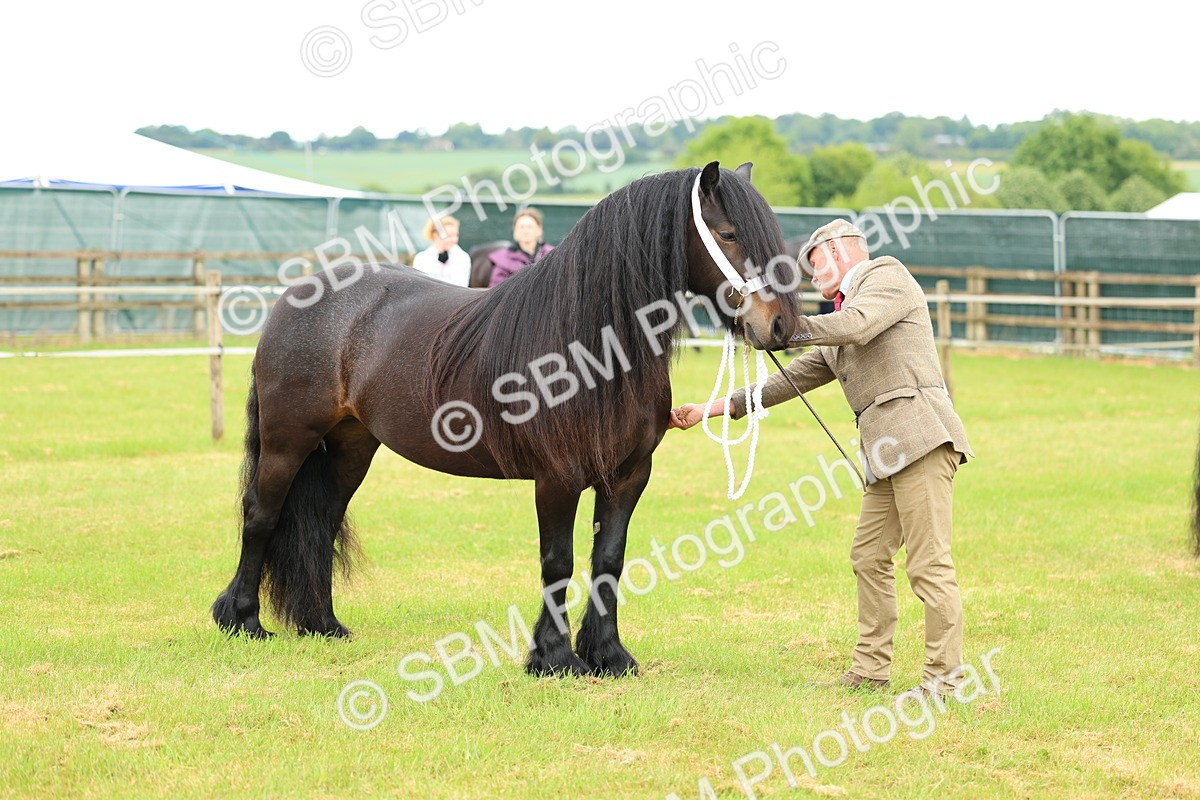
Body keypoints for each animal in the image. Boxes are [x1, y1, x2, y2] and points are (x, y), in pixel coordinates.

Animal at [211, 161, 801, 677]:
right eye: (728, 233)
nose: (781, 328)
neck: (590, 347)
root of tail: (299, 294)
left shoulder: (629, 475)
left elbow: (608, 559)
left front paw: (609, 656)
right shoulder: (557, 477)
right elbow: (558, 562)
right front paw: (554, 659)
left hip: (350, 447)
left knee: (321, 522)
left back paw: (322, 624)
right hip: (288, 441)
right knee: (261, 515)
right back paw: (243, 621)